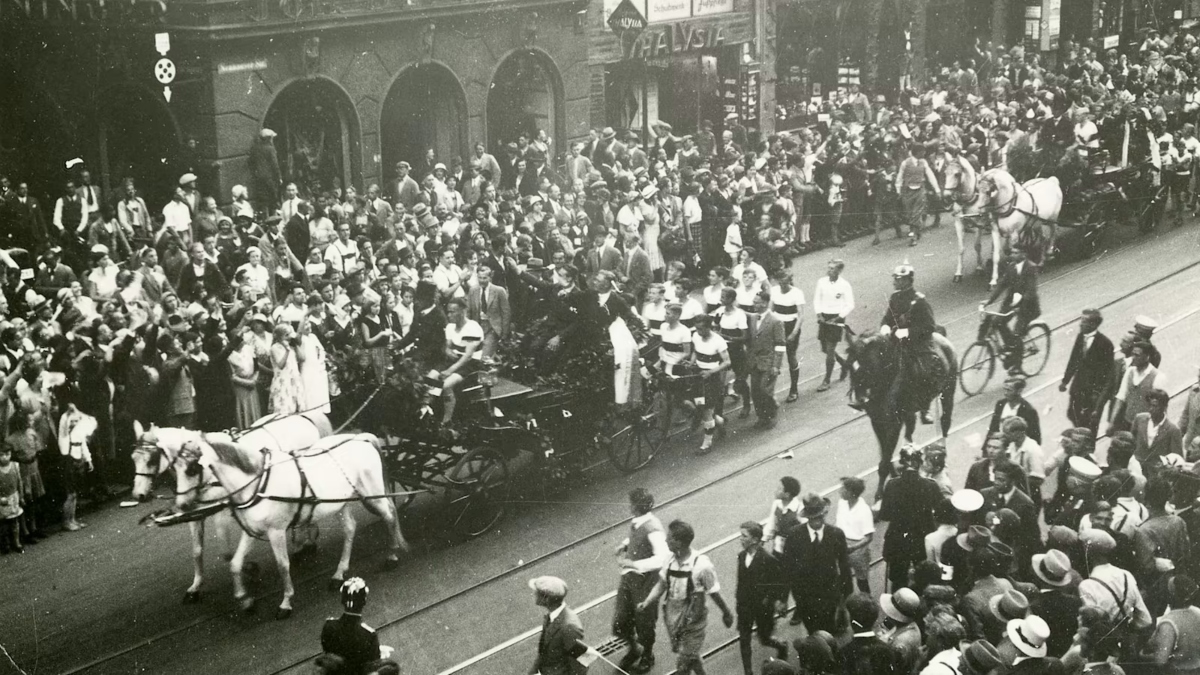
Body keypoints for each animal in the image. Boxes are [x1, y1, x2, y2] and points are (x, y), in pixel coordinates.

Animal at [131, 413, 333, 600]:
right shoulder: (195, 513)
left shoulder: (222, 511)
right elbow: (197, 551)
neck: (209, 474)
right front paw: (196, 586)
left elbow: (226, 552)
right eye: (133, 458)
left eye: (152, 460)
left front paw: (251, 569)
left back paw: (307, 540)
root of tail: (302, 416)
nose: (138, 495)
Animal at [171, 429, 410, 614]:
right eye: (174, 470)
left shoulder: (276, 531)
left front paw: (286, 602)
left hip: (372, 495)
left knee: (389, 515)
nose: (182, 505)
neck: (257, 483)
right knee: (351, 529)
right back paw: (338, 574)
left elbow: (282, 564)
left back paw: (393, 554)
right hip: (340, 504)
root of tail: (360, 437)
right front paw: (245, 600)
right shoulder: (251, 531)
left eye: (192, 469)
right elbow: (235, 563)